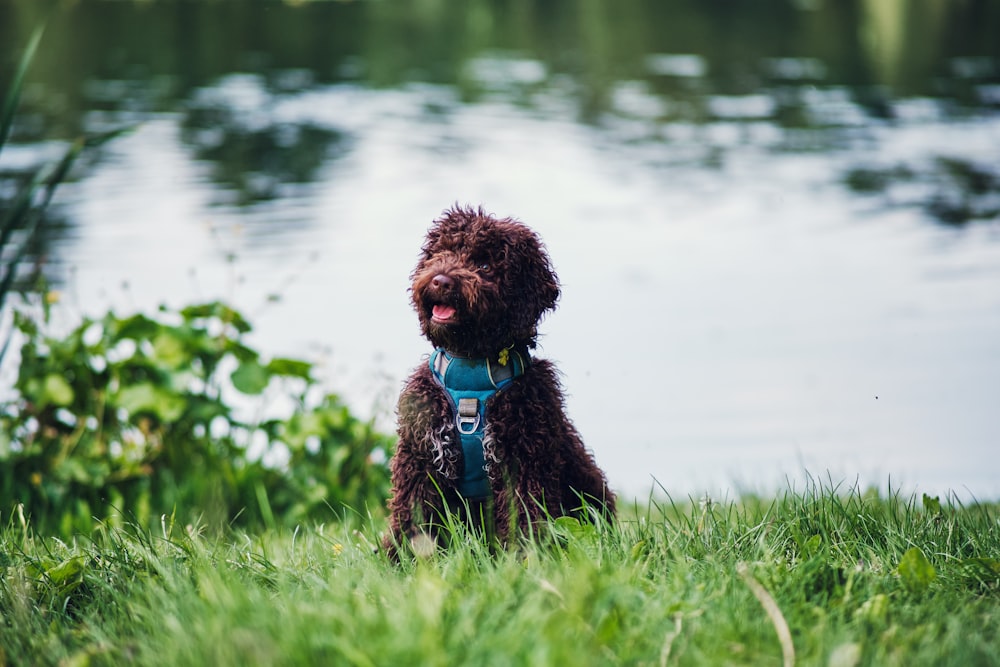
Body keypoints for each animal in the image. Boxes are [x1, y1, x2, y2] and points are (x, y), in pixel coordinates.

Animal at [384, 205, 612, 560]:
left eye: (485, 264)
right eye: (442, 252)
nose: (440, 280)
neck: (471, 371)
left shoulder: (522, 459)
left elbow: (524, 514)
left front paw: (524, 557)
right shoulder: (420, 456)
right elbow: (412, 511)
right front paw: (403, 559)